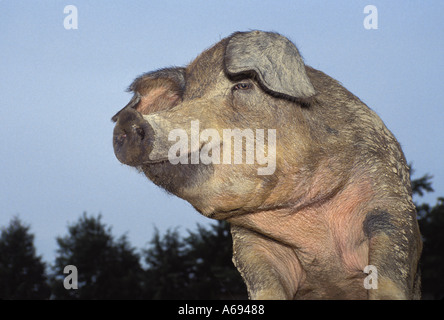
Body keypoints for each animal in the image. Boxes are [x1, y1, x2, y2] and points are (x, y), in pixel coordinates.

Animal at [112, 30, 422, 300]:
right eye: (185, 101)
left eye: (243, 86)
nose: (127, 120)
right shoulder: (249, 243)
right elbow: (264, 284)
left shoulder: (391, 200)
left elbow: (388, 271)